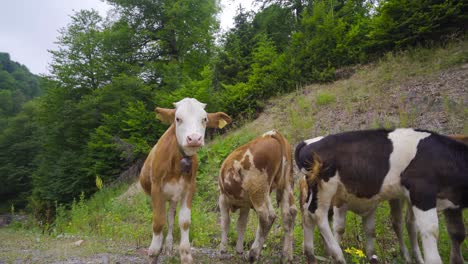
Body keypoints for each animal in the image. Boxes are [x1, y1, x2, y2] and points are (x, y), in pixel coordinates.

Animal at [141, 98, 232, 262]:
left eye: (204, 119)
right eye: (178, 119)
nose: (194, 138)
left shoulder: (189, 189)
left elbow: (184, 222)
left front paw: (185, 255)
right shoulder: (156, 189)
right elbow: (157, 222)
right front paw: (153, 253)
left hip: (173, 198)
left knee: (170, 218)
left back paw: (168, 246)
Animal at [218, 129, 296, 262]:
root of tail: (271, 134)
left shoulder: (222, 199)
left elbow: (225, 222)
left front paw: (223, 250)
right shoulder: (245, 205)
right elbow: (241, 224)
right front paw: (239, 250)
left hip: (257, 189)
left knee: (267, 217)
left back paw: (253, 254)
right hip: (284, 184)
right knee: (289, 214)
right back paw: (286, 256)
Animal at [296, 128, 468, 264]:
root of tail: (307, 143)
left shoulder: (452, 204)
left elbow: (457, 234)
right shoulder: (422, 193)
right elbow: (430, 230)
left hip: (314, 191)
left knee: (308, 217)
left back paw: (310, 255)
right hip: (326, 187)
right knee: (318, 215)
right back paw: (338, 256)